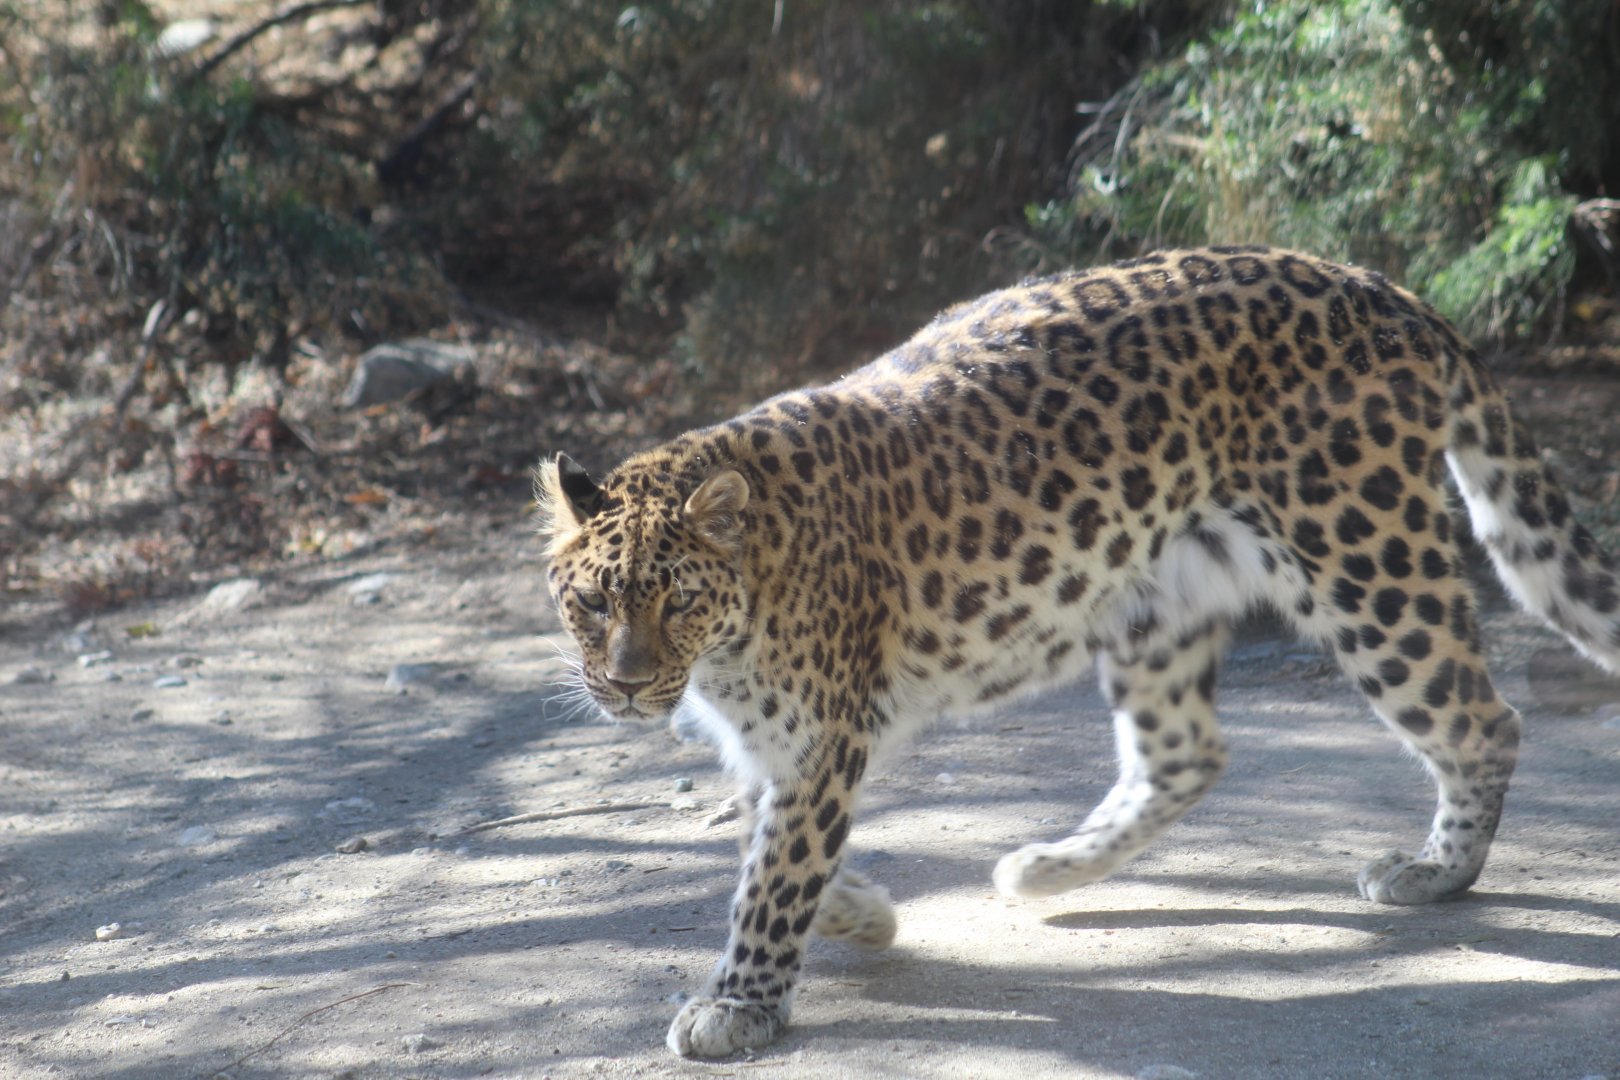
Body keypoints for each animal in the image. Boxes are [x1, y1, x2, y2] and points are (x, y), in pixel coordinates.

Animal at [535, 246, 1620, 1059]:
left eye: (677, 601)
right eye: (591, 602)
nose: (626, 685)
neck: (732, 626)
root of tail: (1380, 286)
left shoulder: (816, 739)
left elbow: (774, 874)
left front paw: (739, 1004)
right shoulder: (778, 748)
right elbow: (768, 848)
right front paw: (863, 914)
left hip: (1365, 563)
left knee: (1481, 718)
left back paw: (1437, 871)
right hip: (1156, 597)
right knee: (1185, 753)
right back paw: (1046, 870)